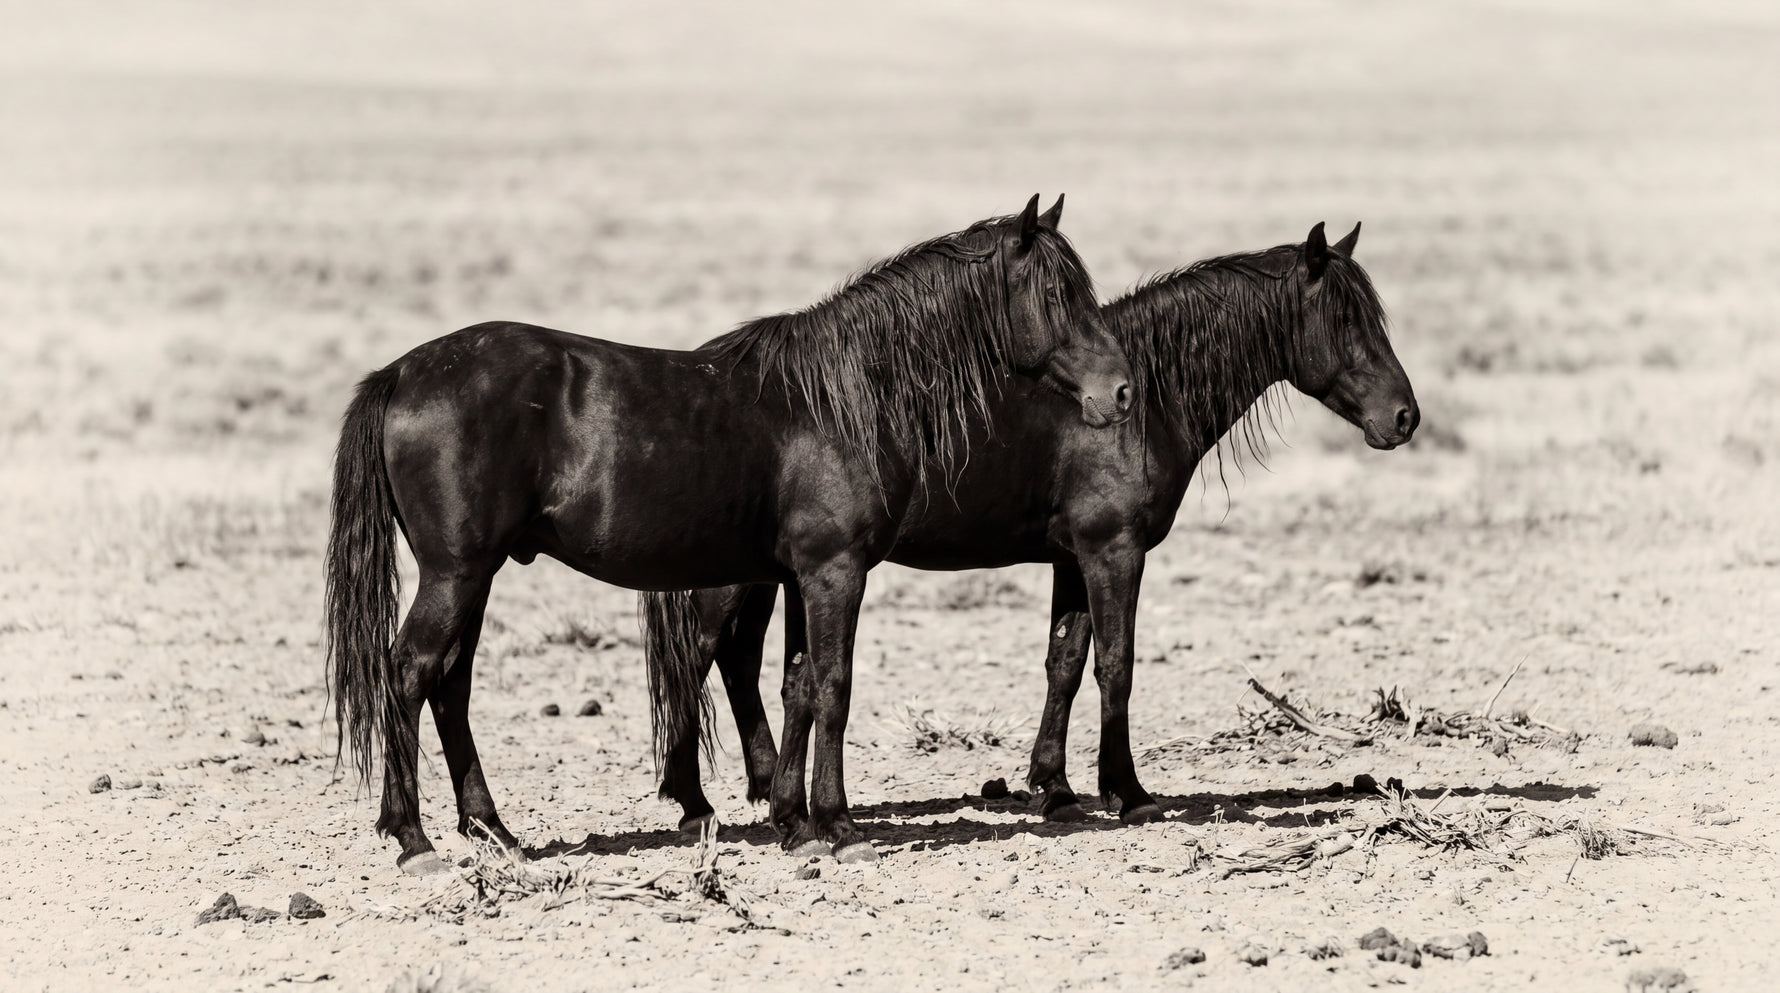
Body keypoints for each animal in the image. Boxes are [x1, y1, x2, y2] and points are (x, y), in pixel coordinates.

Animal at [324, 195, 1134, 873]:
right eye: (1057, 296)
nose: (1122, 392)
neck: (843, 399)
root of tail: (402, 373)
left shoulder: (803, 575)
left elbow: (798, 685)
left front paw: (795, 822)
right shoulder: (835, 570)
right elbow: (834, 685)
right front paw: (840, 827)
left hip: (476, 574)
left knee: (449, 683)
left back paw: (491, 829)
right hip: (456, 571)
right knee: (409, 671)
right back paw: (413, 838)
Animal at [645, 221, 1417, 839]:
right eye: (1346, 320)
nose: (1405, 417)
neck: (1143, 401)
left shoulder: (1072, 560)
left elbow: (1065, 663)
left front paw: (1055, 787)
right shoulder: (1112, 551)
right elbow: (1115, 664)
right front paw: (1127, 792)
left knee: (739, 663)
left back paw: (760, 789)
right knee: (700, 660)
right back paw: (695, 802)